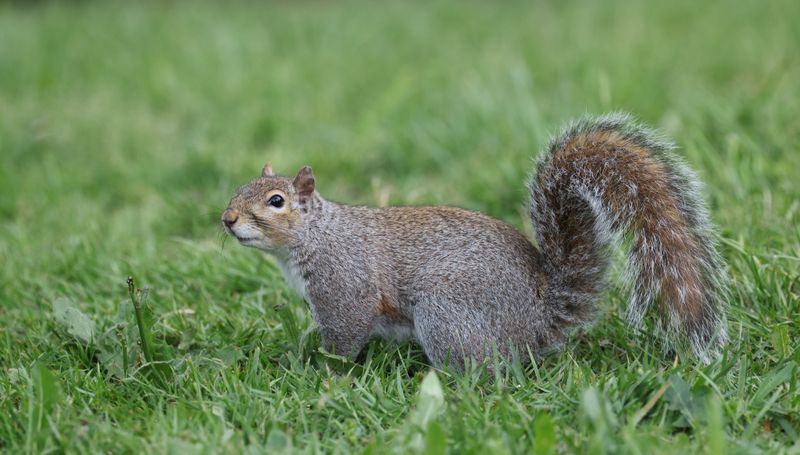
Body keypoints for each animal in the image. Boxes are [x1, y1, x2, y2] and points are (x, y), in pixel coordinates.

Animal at [222, 113, 728, 368]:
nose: (227, 220)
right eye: (238, 187)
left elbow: (344, 339)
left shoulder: (345, 288)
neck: (316, 237)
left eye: (276, 201)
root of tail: (538, 320)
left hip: (446, 312)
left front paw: (325, 374)